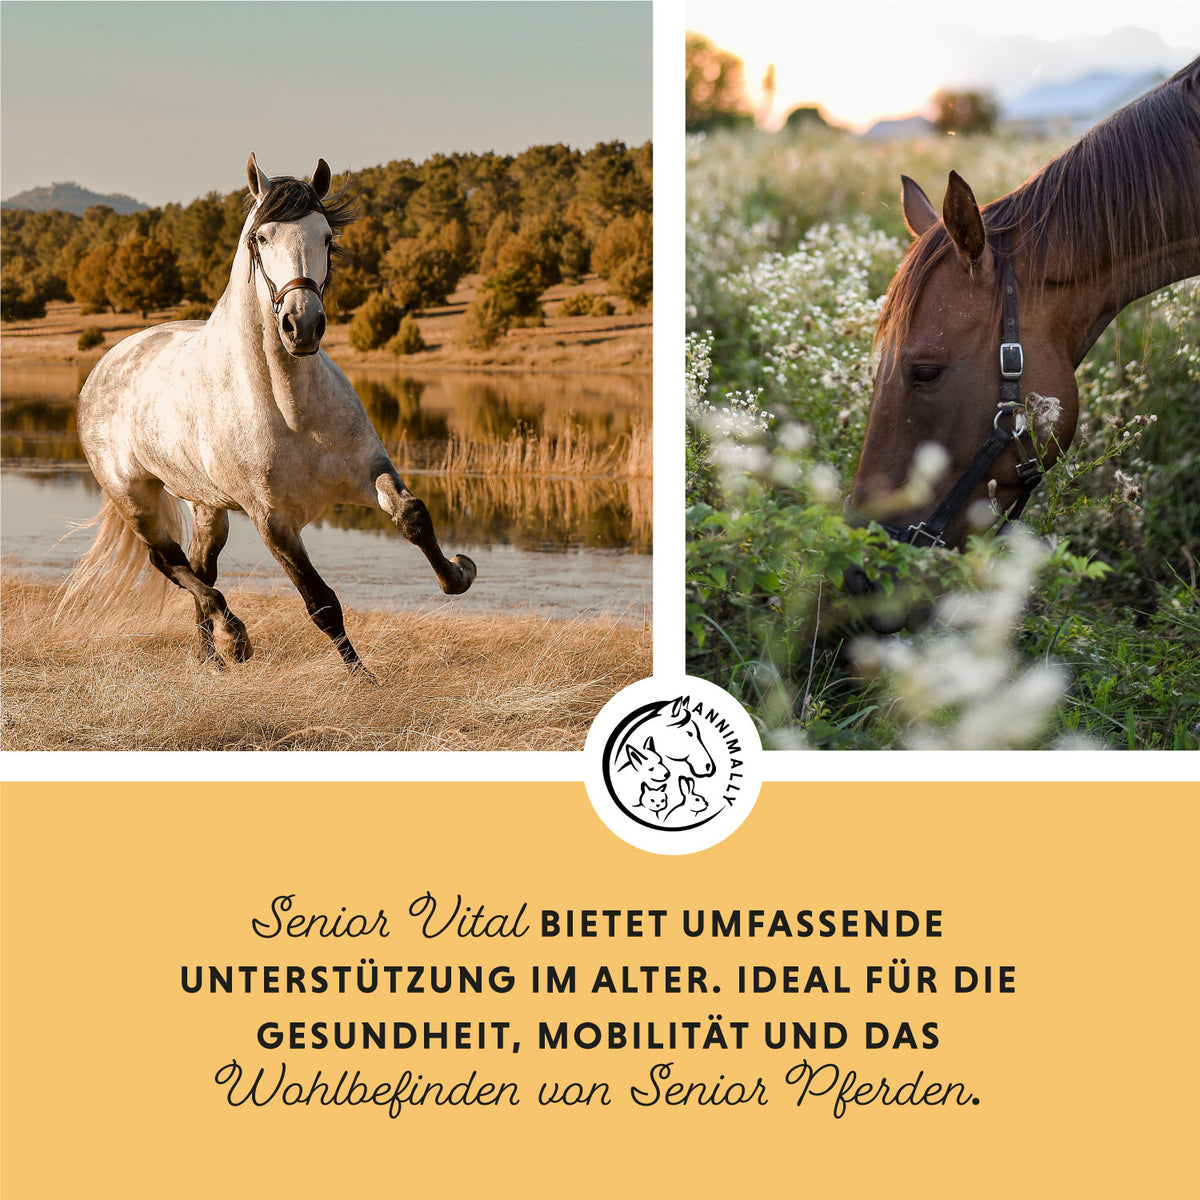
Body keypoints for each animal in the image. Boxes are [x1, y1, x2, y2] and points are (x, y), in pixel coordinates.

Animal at [59, 153, 476, 677]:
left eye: (327, 237)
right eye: (261, 237)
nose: (303, 325)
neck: (290, 408)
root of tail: (106, 364)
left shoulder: (368, 472)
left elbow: (413, 516)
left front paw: (458, 573)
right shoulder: (273, 520)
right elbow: (321, 603)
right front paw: (365, 680)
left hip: (207, 505)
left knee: (199, 566)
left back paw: (212, 659)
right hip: (135, 498)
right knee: (169, 563)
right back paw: (234, 638)